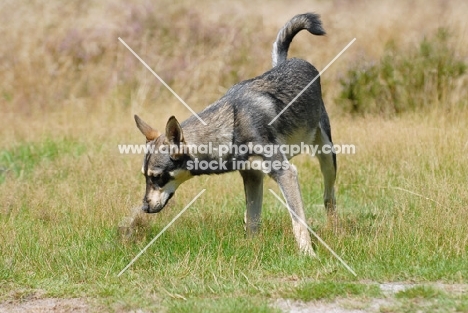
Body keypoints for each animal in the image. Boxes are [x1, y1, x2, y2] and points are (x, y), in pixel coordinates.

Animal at [133, 12, 334, 256]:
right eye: (145, 177)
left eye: (157, 177)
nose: (144, 207)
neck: (232, 128)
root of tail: (289, 61)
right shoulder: (252, 177)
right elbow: (252, 221)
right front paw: (252, 250)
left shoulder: (285, 173)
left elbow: (298, 223)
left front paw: (308, 254)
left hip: (327, 157)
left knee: (329, 197)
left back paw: (334, 227)